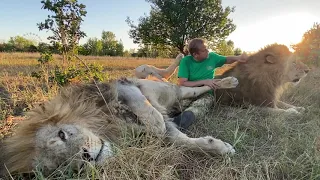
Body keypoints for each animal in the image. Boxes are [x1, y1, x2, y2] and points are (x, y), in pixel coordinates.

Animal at [0, 75, 239, 176]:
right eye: (61, 165)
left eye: (61, 135)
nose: (86, 158)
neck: (108, 127)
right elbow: (183, 141)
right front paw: (220, 147)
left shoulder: (124, 88)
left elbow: (155, 122)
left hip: (172, 89)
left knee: (200, 87)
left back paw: (229, 81)